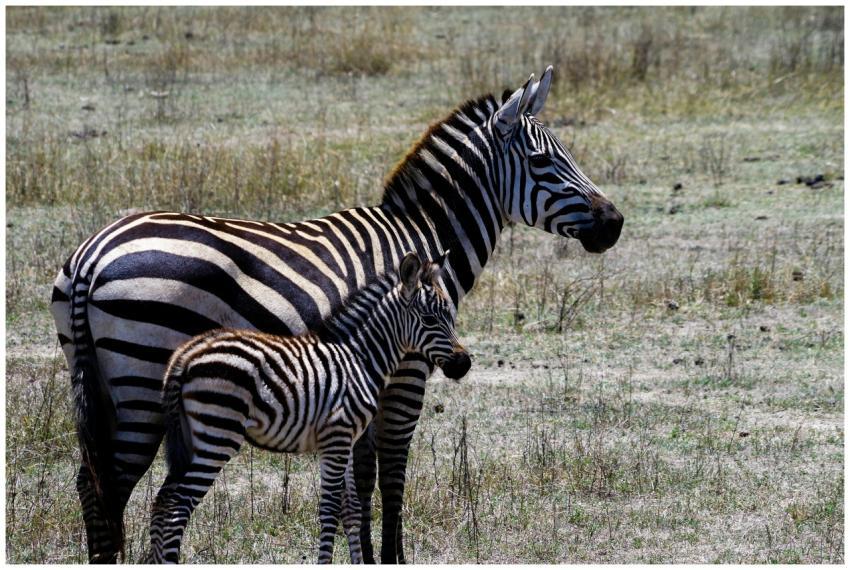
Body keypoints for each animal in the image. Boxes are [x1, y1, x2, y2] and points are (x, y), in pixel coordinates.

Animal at [145, 252, 469, 563]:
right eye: (429, 320)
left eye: (450, 317)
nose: (464, 364)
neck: (360, 357)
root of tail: (185, 356)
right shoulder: (337, 437)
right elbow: (329, 510)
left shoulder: (343, 440)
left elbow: (350, 509)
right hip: (217, 435)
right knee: (177, 508)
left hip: (192, 438)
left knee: (162, 503)